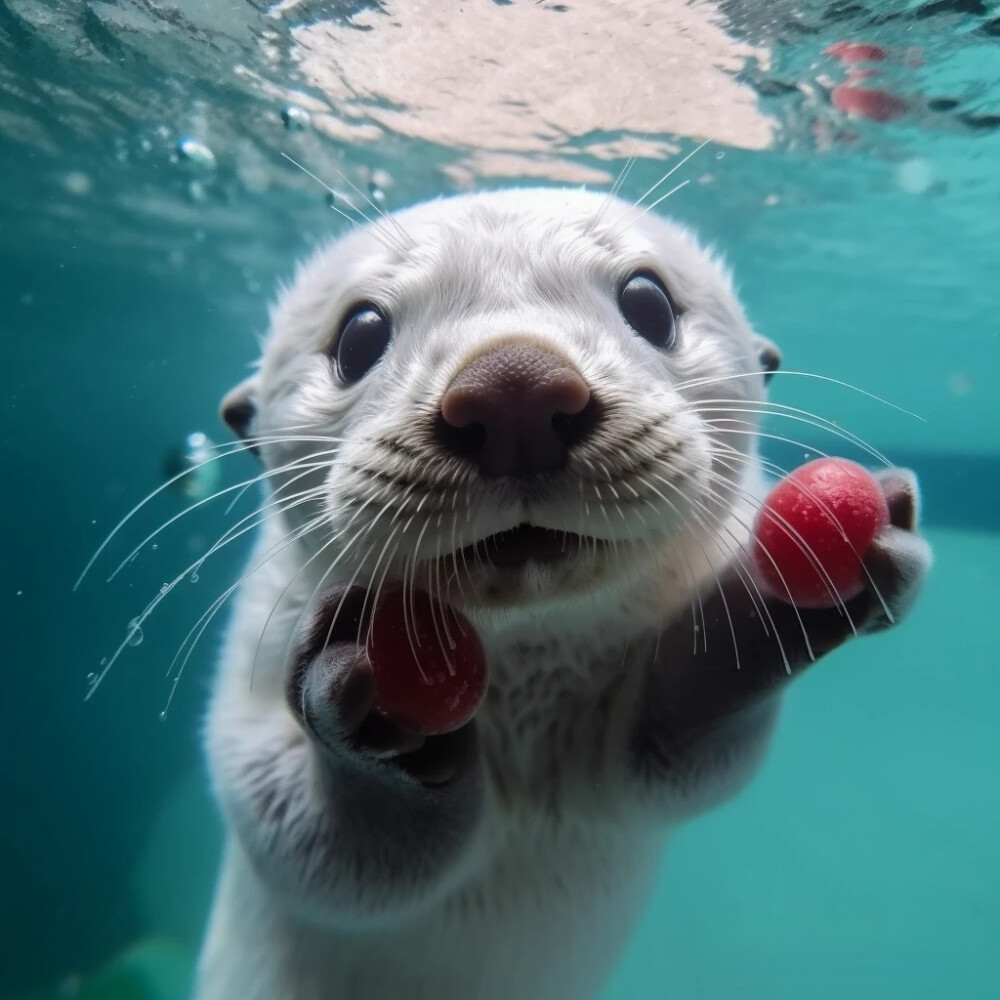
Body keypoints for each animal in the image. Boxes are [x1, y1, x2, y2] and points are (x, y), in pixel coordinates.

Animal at [195, 188, 928, 1000]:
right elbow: (319, 849)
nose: (513, 386)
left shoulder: (648, 753)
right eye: (359, 335)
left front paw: (791, 601)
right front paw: (369, 713)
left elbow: (690, 737)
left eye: (650, 301)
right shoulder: (259, 646)